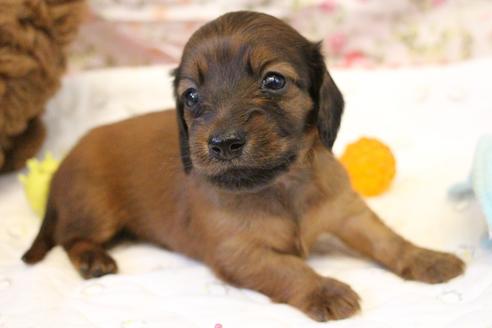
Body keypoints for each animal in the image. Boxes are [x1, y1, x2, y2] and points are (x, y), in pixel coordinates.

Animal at [22, 11, 466, 322]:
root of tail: (67, 157)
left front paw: (427, 259)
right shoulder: (238, 253)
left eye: (274, 81)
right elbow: (288, 268)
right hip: (97, 208)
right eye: (191, 96)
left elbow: (387, 239)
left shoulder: (348, 212)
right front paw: (324, 290)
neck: (281, 185)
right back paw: (93, 259)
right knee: (70, 238)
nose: (223, 144)